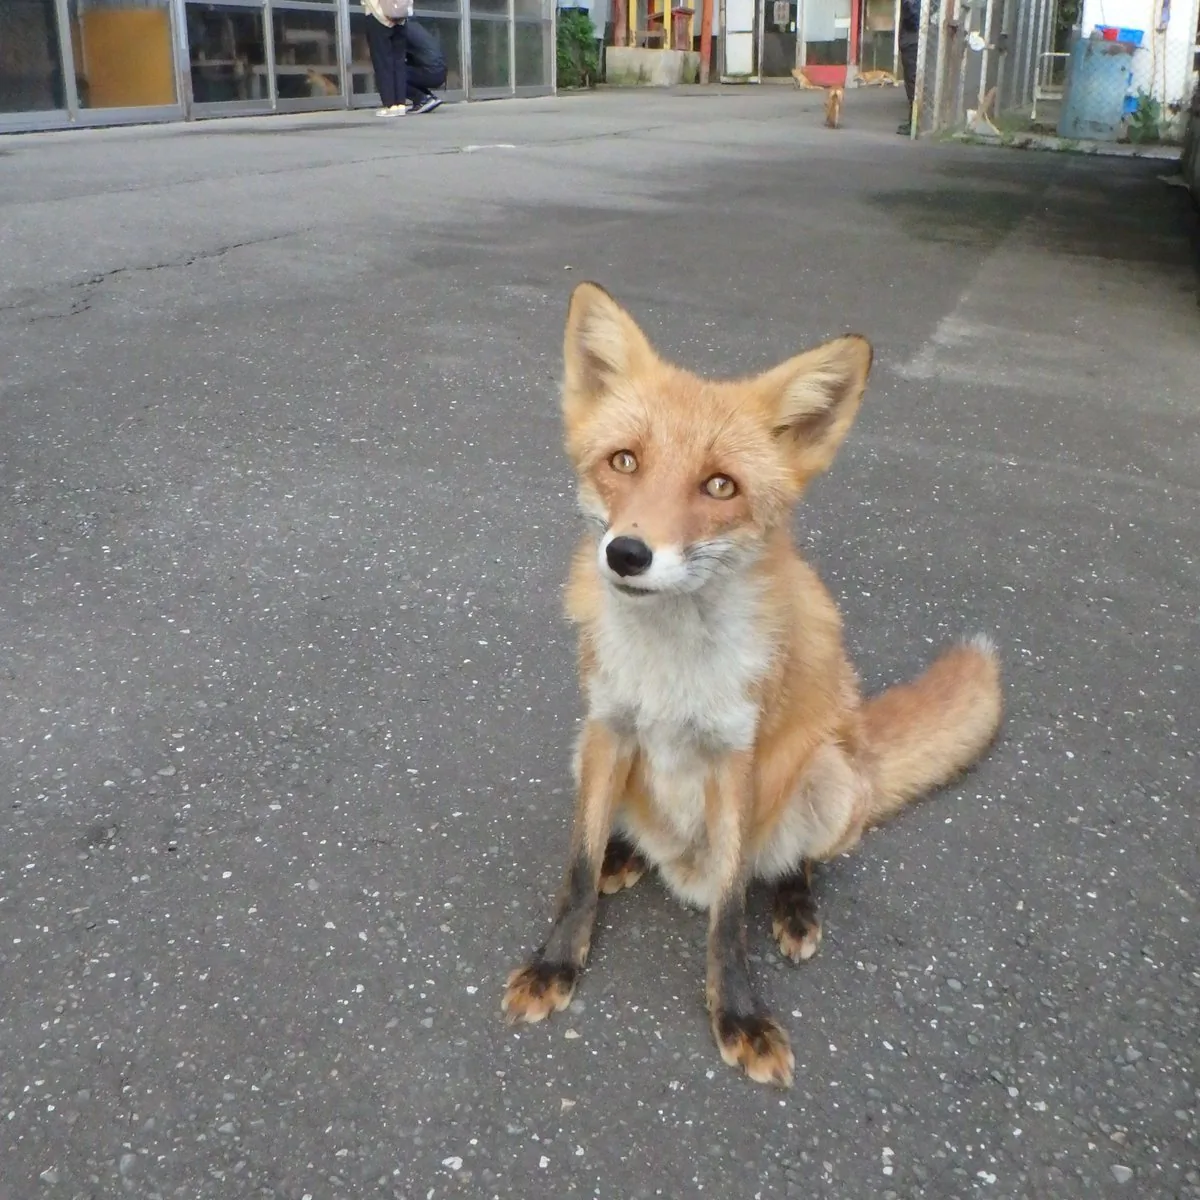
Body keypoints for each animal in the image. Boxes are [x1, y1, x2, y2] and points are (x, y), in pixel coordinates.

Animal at [501, 283, 1003, 1088]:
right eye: (623, 461)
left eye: (719, 486)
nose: (627, 552)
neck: (671, 667)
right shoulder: (609, 724)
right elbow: (575, 869)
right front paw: (557, 964)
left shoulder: (736, 756)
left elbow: (731, 910)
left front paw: (737, 1014)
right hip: (581, 749)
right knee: (622, 833)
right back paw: (627, 857)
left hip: (828, 778)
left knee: (792, 863)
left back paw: (796, 907)